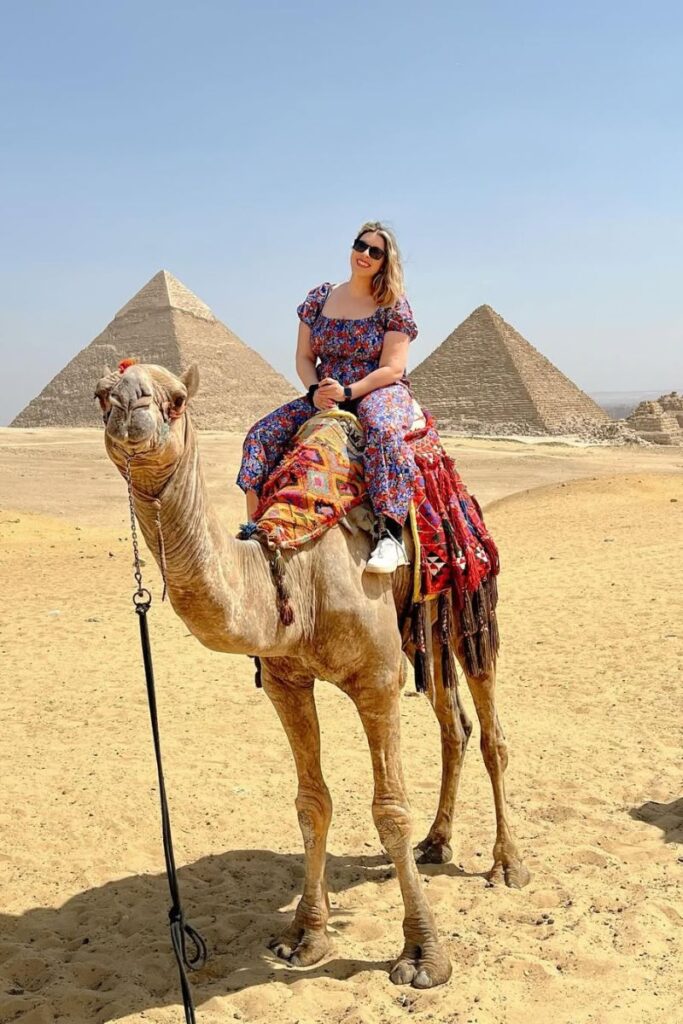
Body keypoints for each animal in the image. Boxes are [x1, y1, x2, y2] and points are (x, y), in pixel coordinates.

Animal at [95, 361, 529, 991]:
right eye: (101, 394)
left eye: (176, 399)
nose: (130, 402)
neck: (294, 570)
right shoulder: (285, 682)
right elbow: (311, 802)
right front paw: (305, 936)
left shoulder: (376, 678)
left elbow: (389, 810)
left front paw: (424, 955)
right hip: (422, 624)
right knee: (456, 727)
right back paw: (437, 841)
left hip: (469, 598)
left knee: (492, 733)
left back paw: (508, 864)